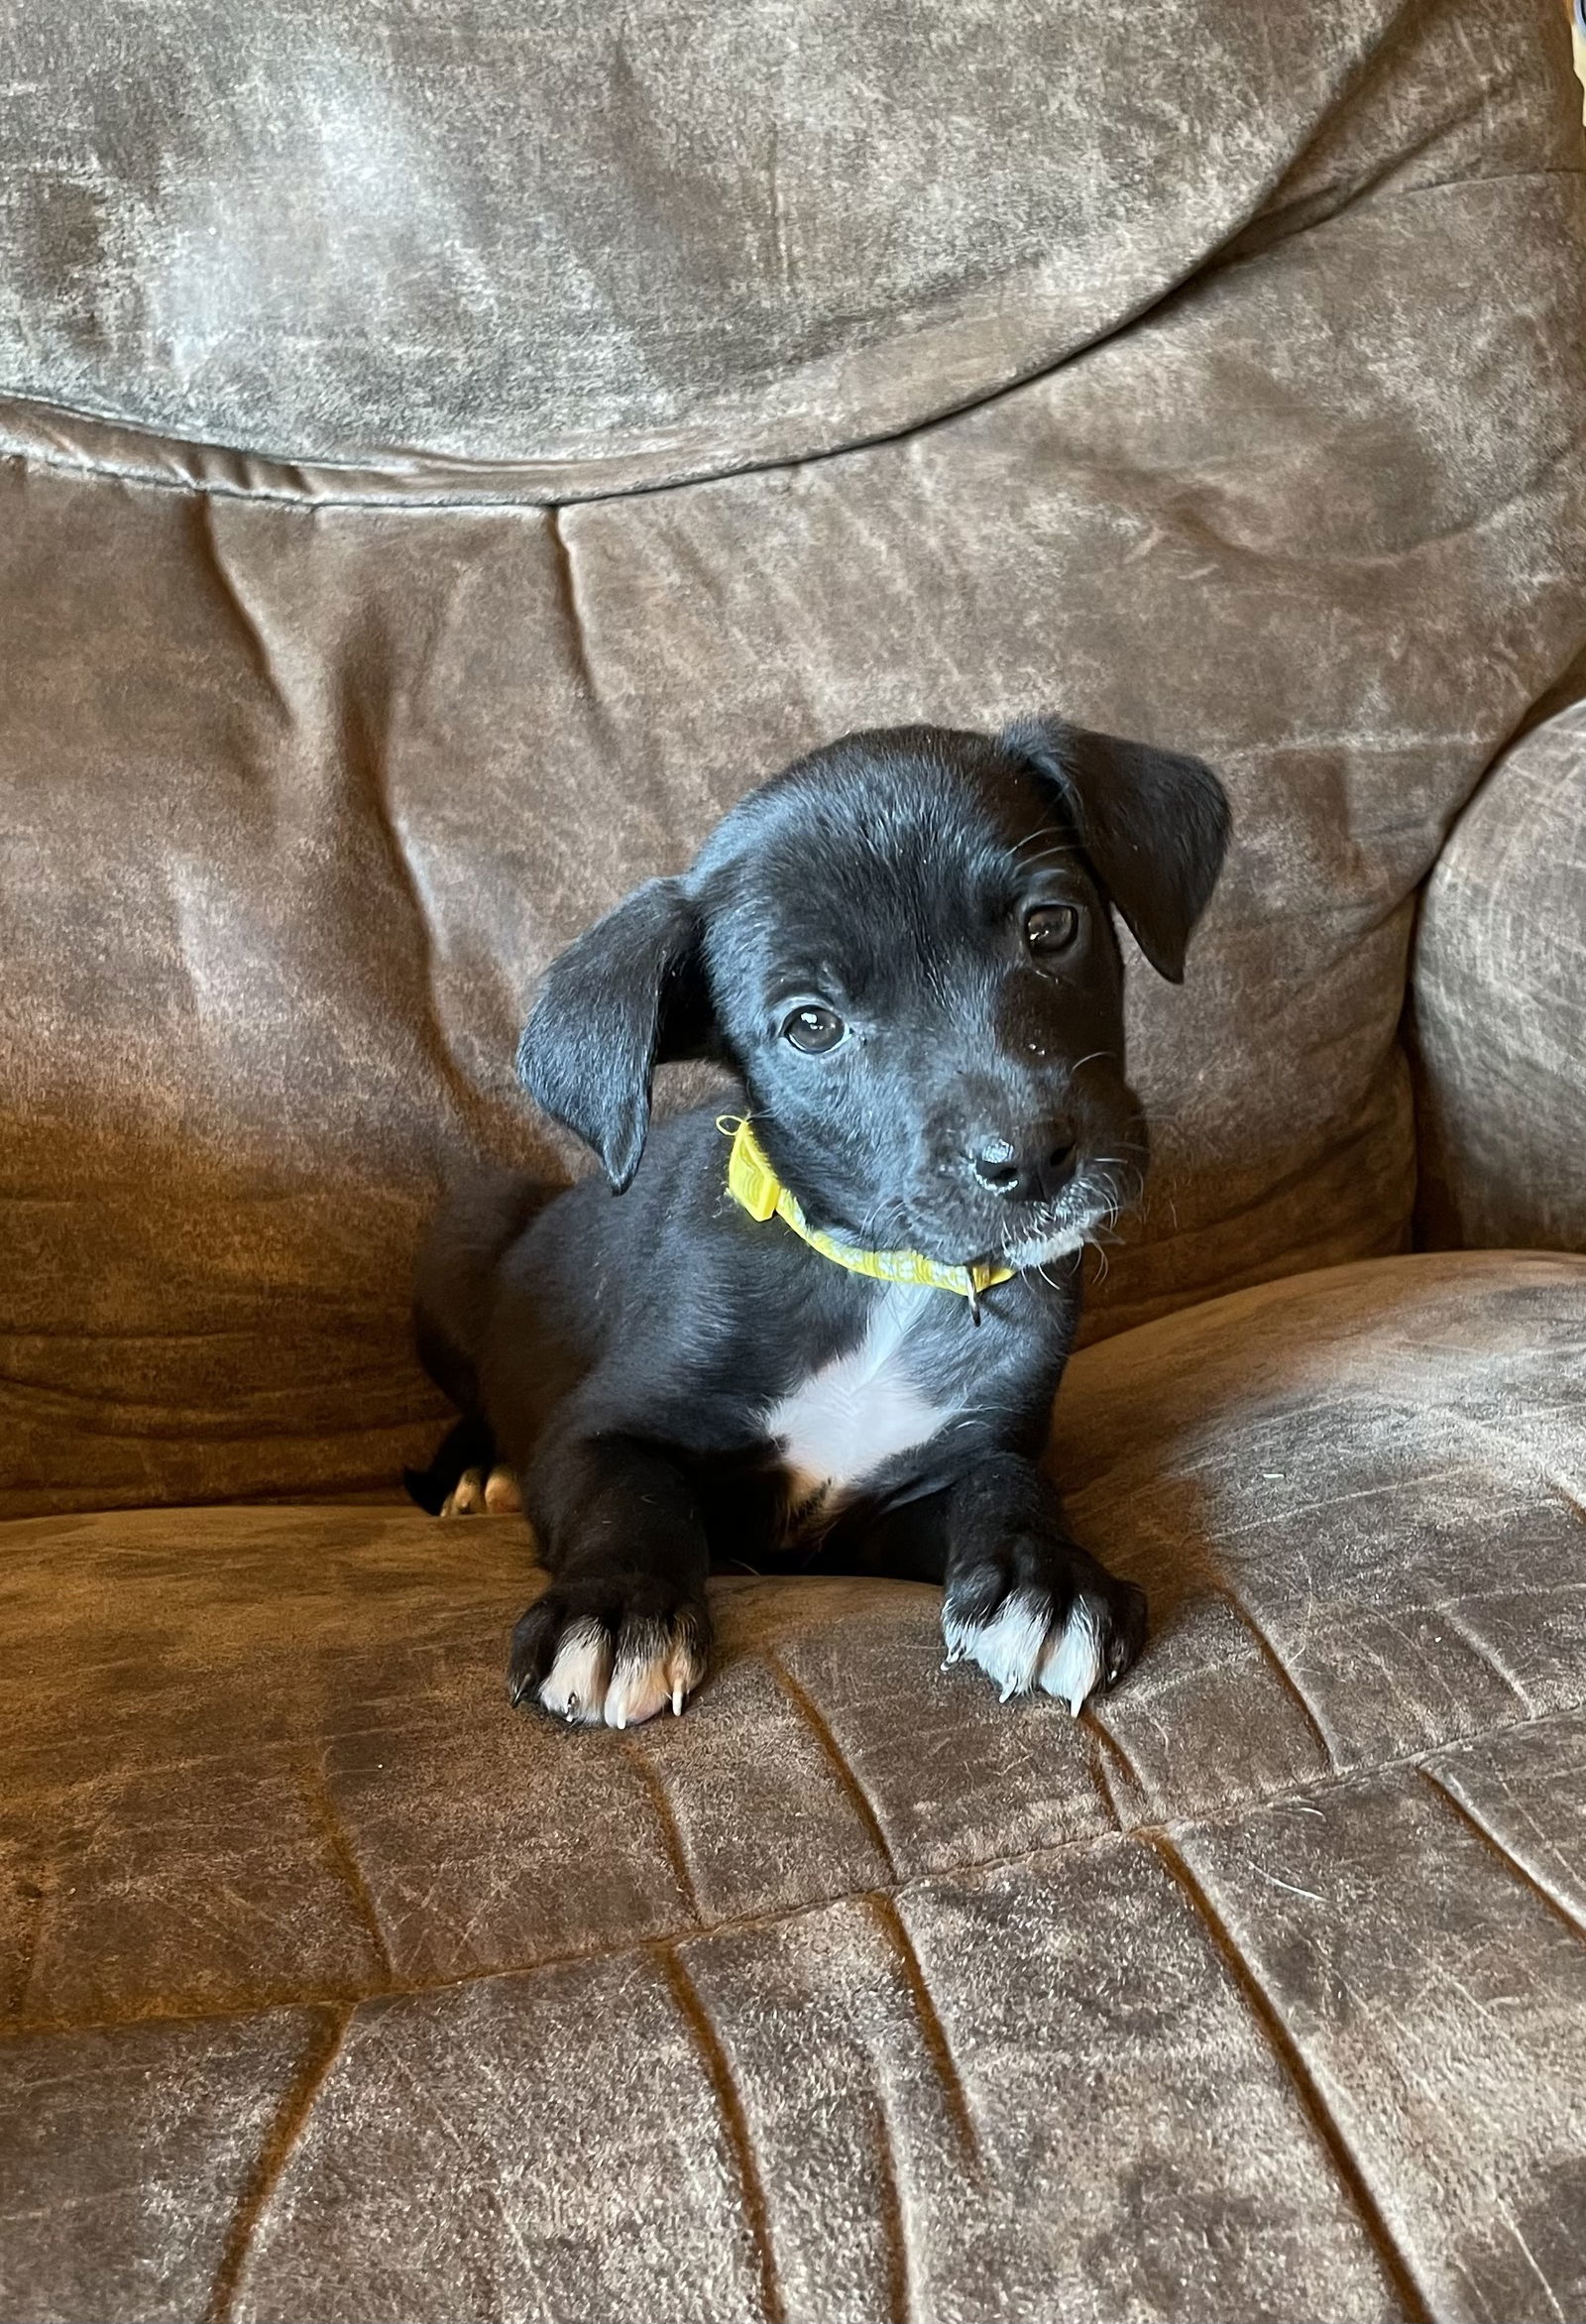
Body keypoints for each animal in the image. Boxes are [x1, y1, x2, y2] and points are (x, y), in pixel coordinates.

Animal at [412, 720, 1225, 1728]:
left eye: (1050, 927)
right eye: (810, 1025)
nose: (1031, 1159)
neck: (884, 1276)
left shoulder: (903, 1499)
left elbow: (1007, 1477)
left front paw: (1049, 1580)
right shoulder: (593, 1430)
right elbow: (632, 1490)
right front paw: (616, 1609)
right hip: (464, 1230)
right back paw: (476, 1475)